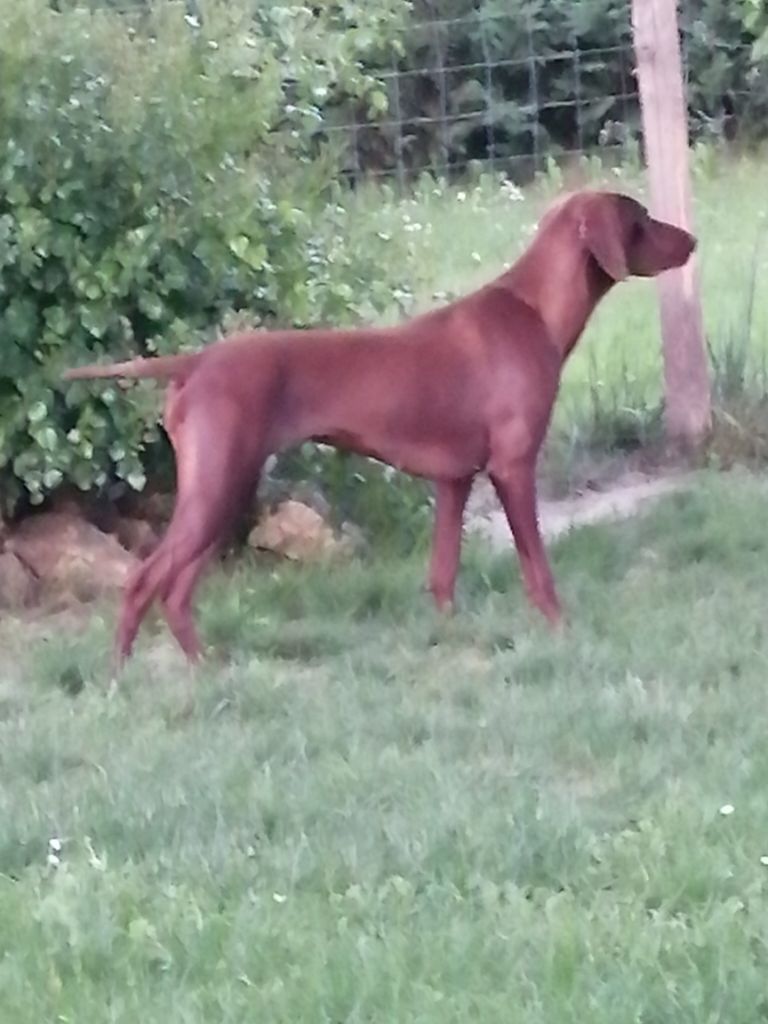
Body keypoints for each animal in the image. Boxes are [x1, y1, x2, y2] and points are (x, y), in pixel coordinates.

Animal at [63, 190, 696, 663]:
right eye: (641, 220)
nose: (692, 240)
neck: (533, 309)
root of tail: (195, 363)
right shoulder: (513, 468)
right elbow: (537, 570)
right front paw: (562, 632)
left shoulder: (454, 481)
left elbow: (443, 575)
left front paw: (449, 640)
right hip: (219, 486)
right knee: (144, 582)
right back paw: (122, 677)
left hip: (222, 491)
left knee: (175, 591)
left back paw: (204, 668)